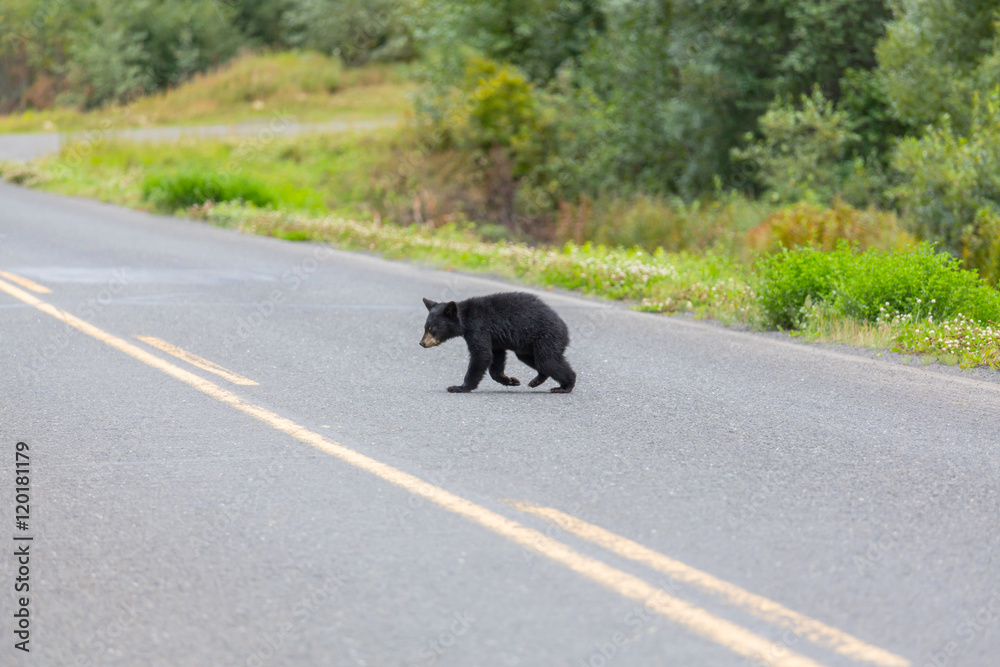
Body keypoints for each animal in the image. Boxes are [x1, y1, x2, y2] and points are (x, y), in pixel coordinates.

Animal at [419, 292, 577, 393]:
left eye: (432, 329)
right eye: (425, 327)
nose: (422, 343)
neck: (466, 318)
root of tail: (566, 331)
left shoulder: (479, 328)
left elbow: (481, 355)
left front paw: (459, 387)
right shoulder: (494, 339)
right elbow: (495, 358)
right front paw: (510, 380)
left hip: (546, 338)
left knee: (548, 361)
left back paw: (565, 386)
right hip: (528, 346)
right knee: (534, 359)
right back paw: (537, 380)